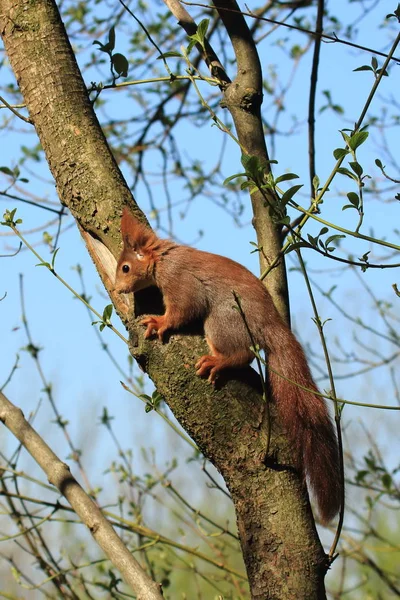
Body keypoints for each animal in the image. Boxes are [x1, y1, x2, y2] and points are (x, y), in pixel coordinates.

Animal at [115, 207, 340, 524]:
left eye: (125, 268)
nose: (116, 288)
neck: (163, 259)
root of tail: (270, 324)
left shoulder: (181, 282)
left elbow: (183, 309)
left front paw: (160, 322)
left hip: (223, 320)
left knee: (242, 355)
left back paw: (217, 361)